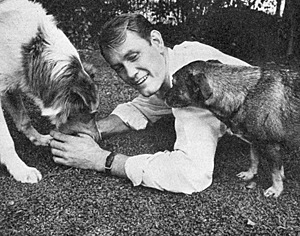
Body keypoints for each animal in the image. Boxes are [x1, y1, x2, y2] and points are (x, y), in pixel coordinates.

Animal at [164, 60, 300, 197]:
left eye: (174, 83)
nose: (164, 95)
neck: (246, 95)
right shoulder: (255, 141)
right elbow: (254, 159)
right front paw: (250, 174)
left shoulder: (271, 144)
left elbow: (274, 171)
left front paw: (276, 189)